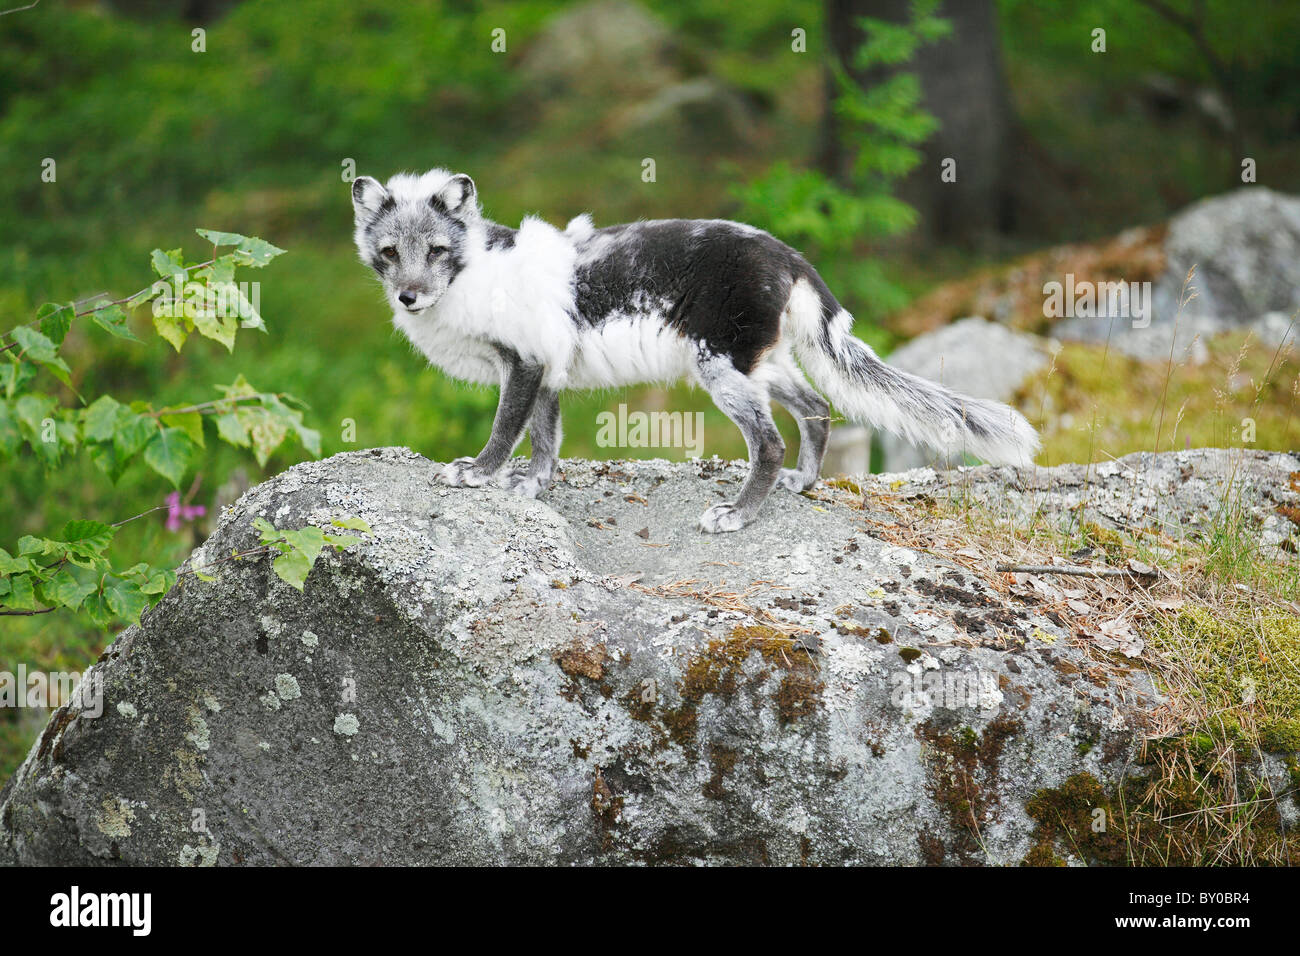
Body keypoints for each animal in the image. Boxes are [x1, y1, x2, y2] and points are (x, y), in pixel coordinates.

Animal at [351, 170, 1040, 530]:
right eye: (389, 252)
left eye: (436, 250)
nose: (409, 296)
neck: (475, 272)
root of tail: (788, 253)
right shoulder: (546, 366)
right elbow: (545, 440)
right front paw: (533, 487)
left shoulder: (522, 364)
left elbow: (505, 430)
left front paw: (477, 474)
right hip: (759, 366)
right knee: (817, 409)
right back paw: (803, 484)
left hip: (723, 370)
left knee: (770, 440)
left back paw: (738, 513)